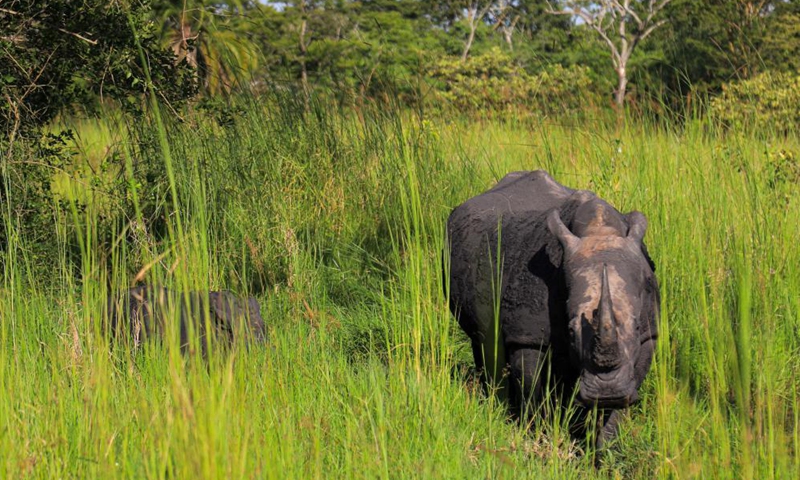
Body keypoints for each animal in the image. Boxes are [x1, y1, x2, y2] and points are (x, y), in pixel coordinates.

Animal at [446, 170, 659, 451]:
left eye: (635, 326)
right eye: (570, 330)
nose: (607, 393)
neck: (599, 233)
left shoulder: (648, 333)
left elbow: (622, 400)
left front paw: (605, 451)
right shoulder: (527, 336)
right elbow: (534, 390)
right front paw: (540, 440)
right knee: (482, 341)